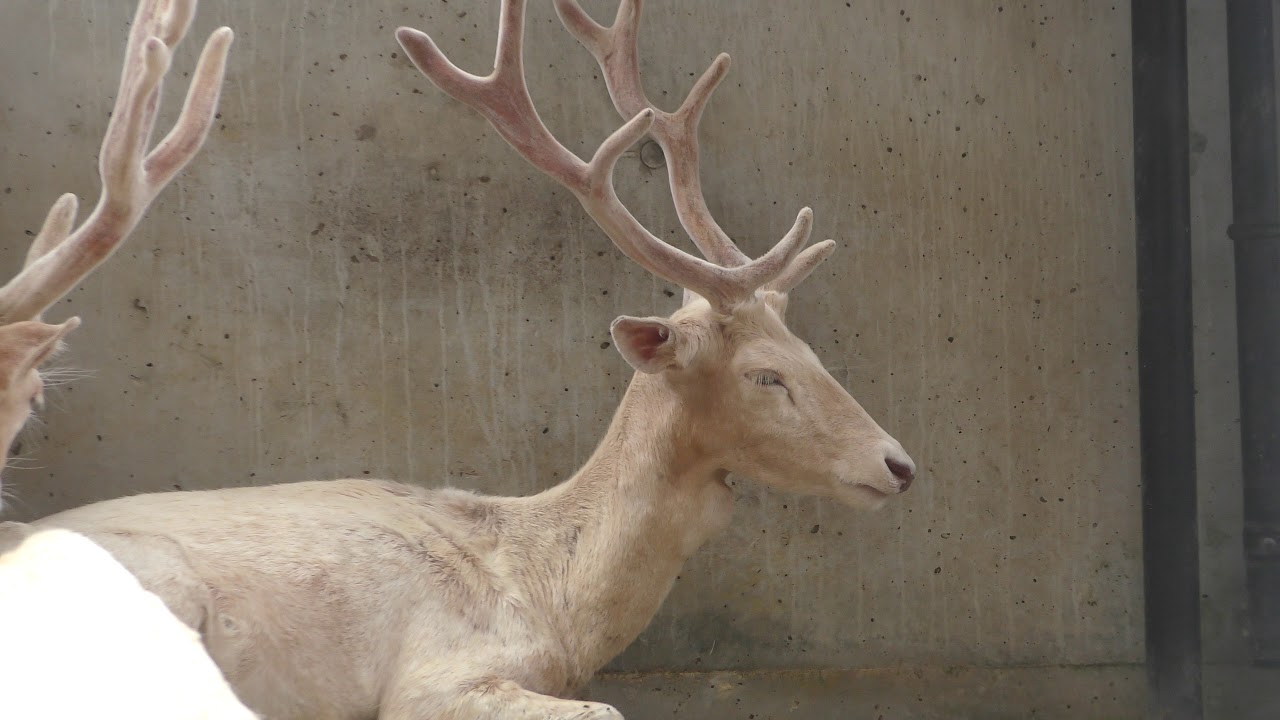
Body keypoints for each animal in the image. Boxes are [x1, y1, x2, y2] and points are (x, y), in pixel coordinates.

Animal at [26, 1, 917, 718]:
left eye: (808, 350)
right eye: (765, 374)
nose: (899, 463)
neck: (553, 603)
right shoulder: (435, 675)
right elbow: (607, 711)